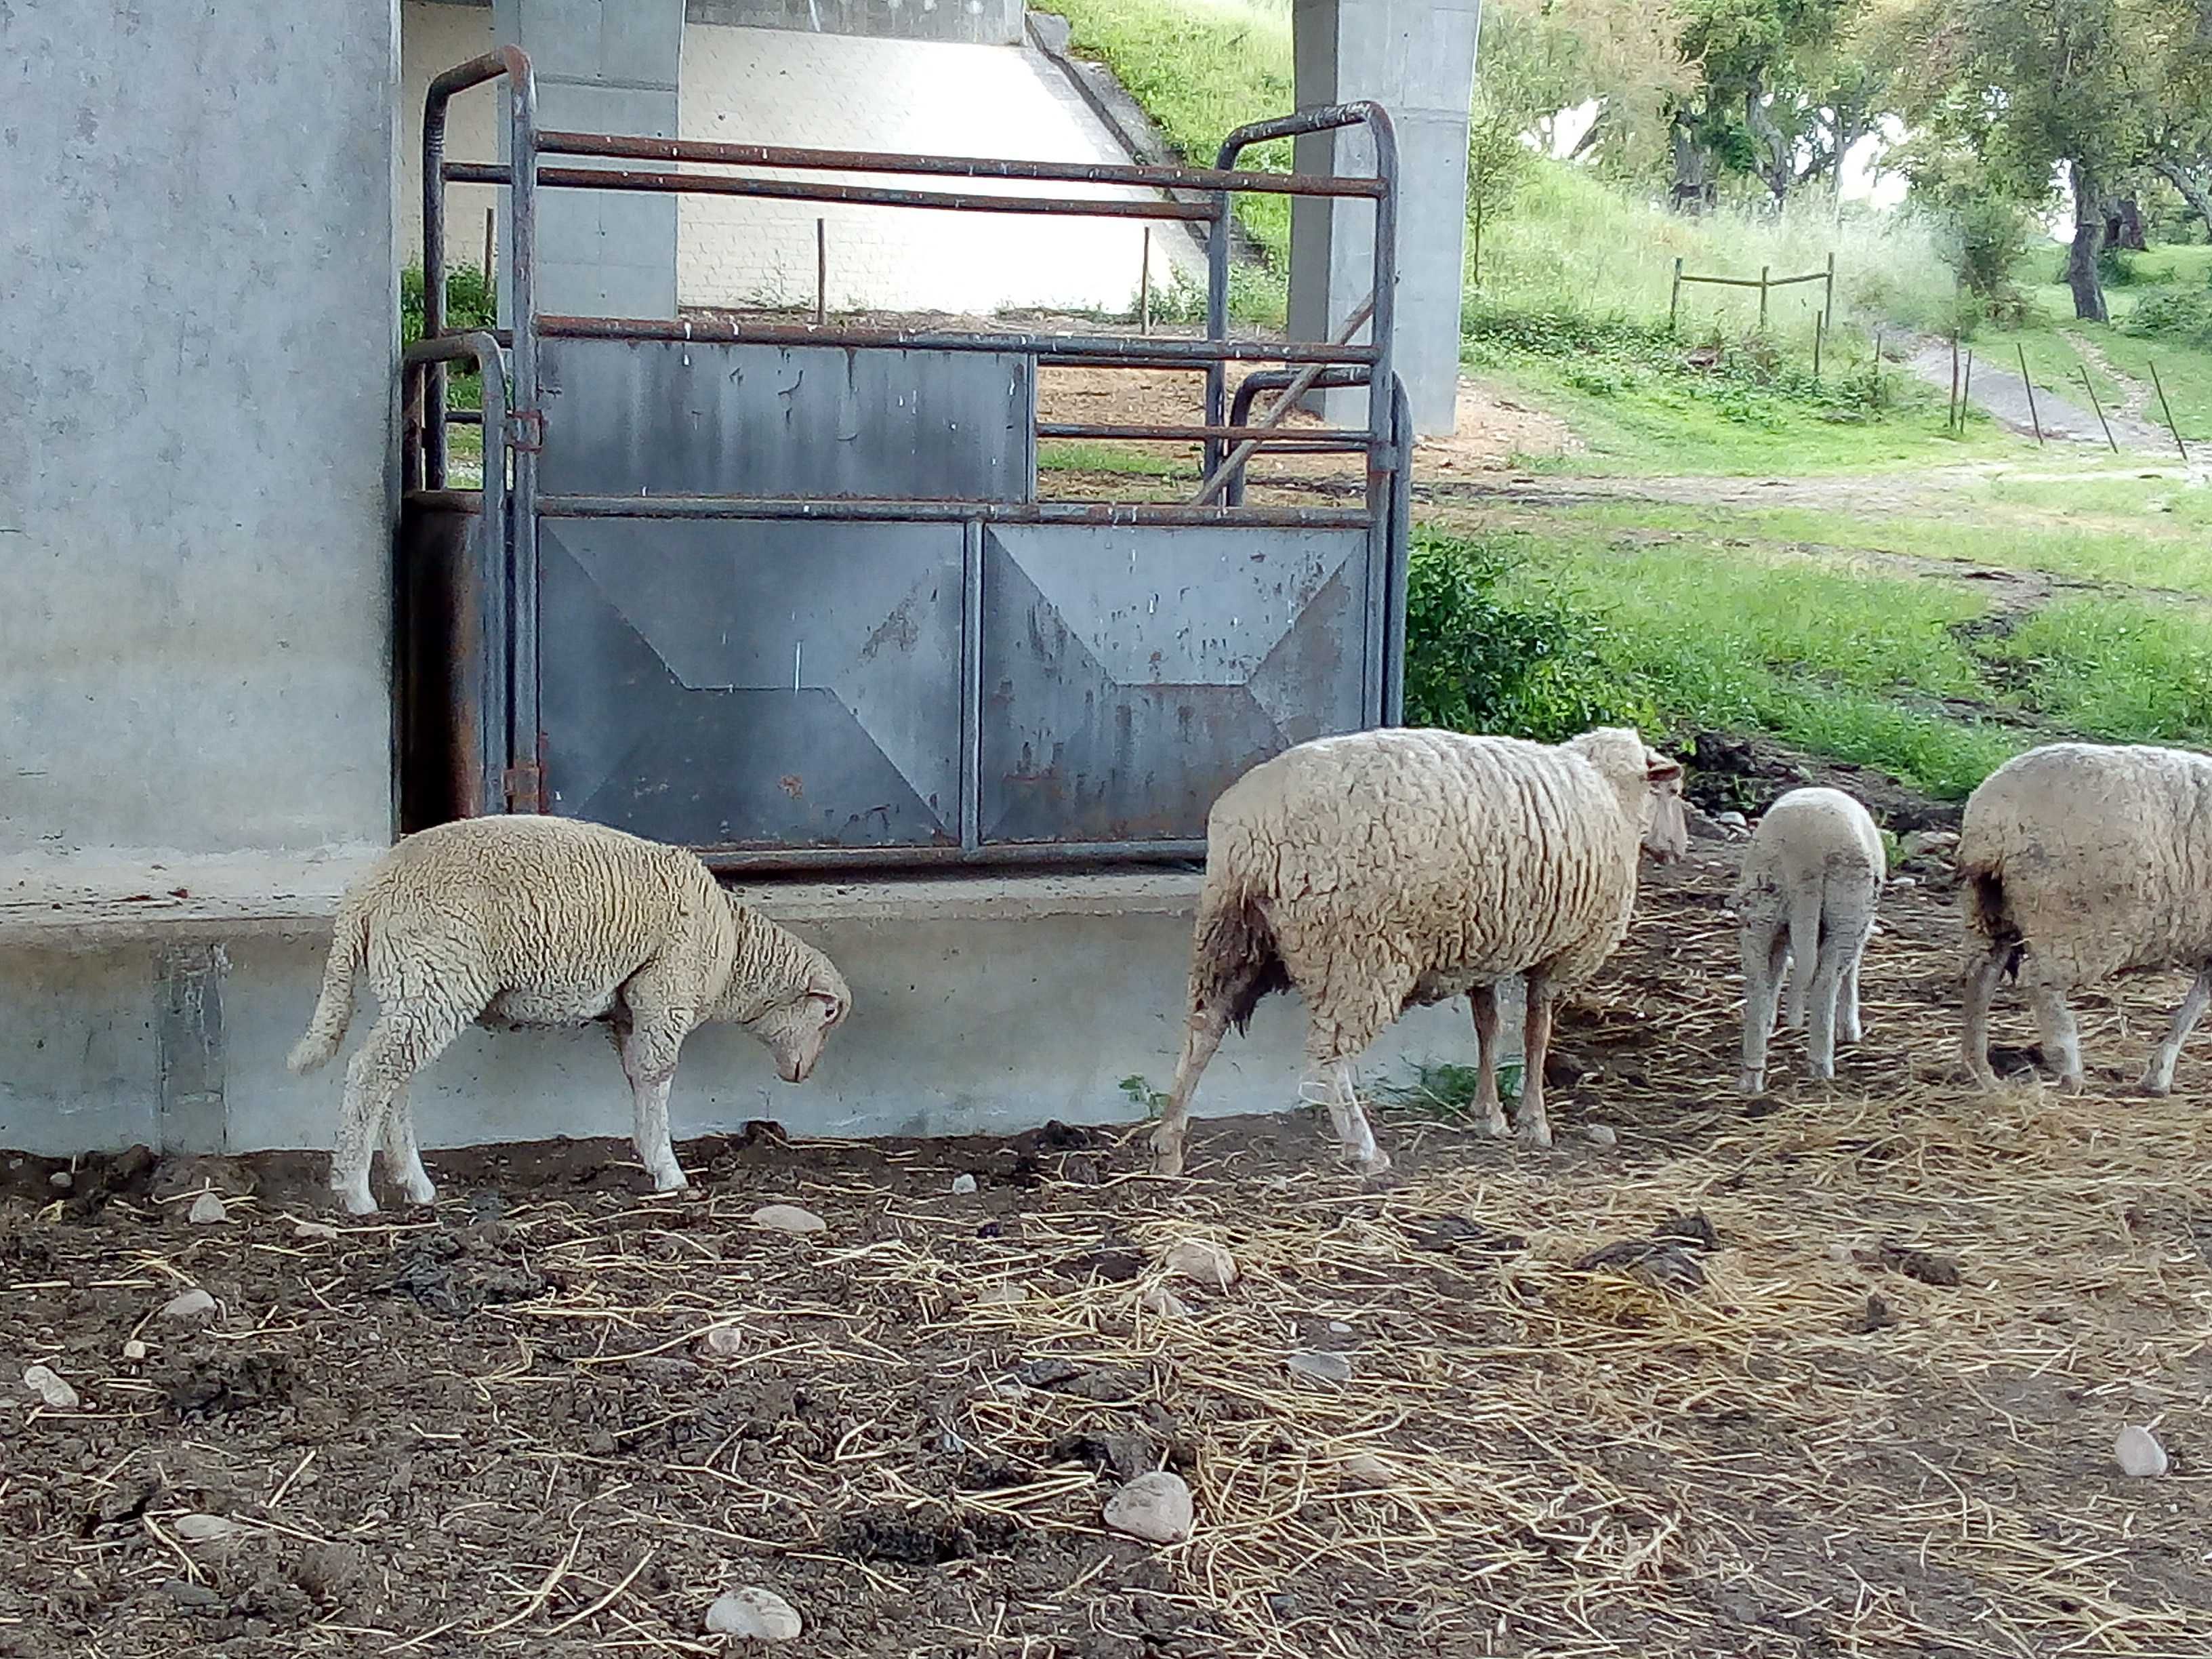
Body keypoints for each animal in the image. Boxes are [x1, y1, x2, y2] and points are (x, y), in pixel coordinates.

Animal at [287, 814, 853, 1212]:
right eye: (827, 1015)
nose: (803, 1075)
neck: (734, 954)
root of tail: (366, 894)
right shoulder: (665, 991)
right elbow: (658, 1077)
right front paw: (670, 1172)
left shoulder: (630, 1009)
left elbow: (638, 1078)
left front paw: (649, 1154)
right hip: (435, 974)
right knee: (372, 1073)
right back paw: (356, 1192)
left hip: (414, 985)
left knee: (395, 1078)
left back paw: (415, 1184)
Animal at [1150, 725, 1681, 1185]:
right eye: (1673, 792)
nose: (1680, 848)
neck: (1614, 793)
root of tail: (1256, 822)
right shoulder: (1566, 952)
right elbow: (1537, 1031)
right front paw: (1535, 1123)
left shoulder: (1485, 945)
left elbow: (1488, 1027)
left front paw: (1488, 1115)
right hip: (1355, 953)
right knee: (1328, 1055)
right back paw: (1363, 1148)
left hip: (1230, 934)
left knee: (1204, 1028)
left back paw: (1169, 1143)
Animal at [1725, 787, 1884, 1097]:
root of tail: (1805, 857)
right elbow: (1852, 971)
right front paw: (1850, 1029)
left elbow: (1777, 970)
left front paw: (1770, 1020)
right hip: (1848, 904)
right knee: (1826, 981)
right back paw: (1821, 1065)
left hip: (1762, 902)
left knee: (1757, 982)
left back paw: (1752, 1074)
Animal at [1955, 747, 2212, 1097]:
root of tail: (1992, 822)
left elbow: (2197, 1001)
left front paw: (2158, 1075)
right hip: (2069, 921)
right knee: (2039, 984)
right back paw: (2068, 1067)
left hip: (1989, 908)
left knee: (1981, 977)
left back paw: (1980, 1070)